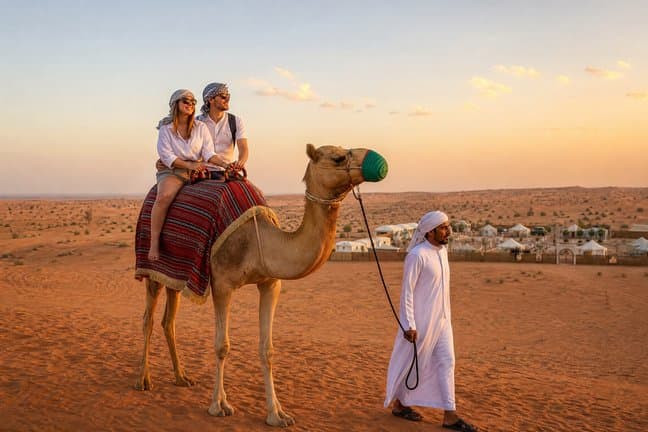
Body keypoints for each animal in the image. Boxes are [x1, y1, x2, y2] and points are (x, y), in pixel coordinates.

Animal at [134, 144, 388, 427]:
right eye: (338, 157)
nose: (378, 161)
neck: (260, 242)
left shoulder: (270, 284)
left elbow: (267, 349)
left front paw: (277, 414)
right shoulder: (222, 284)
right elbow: (222, 345)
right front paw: (218, 405)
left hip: (176, 276)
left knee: (169, 320)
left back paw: (181, 377)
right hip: (152, 270)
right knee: (148, 319)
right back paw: (144, 380)